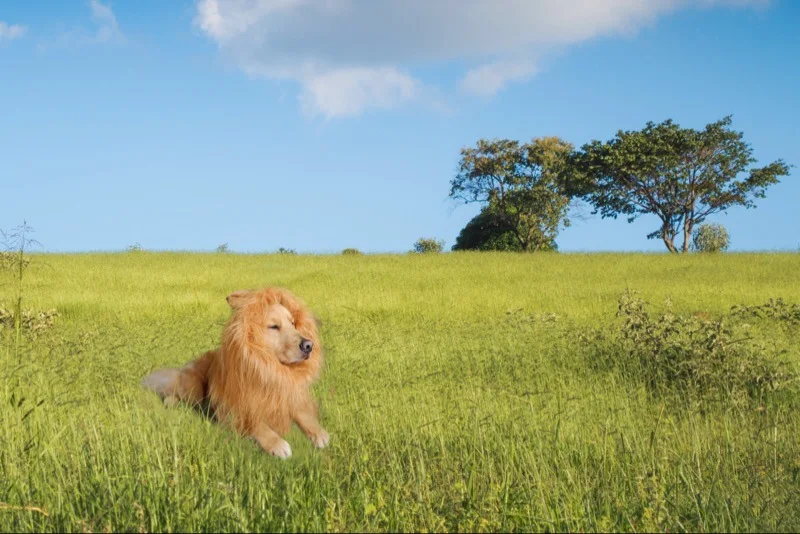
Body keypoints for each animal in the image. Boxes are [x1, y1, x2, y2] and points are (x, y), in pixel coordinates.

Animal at [142, 288, 330, 460]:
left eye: (293, 323)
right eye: (274, 326)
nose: (309, 345)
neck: (267, 370)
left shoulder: (290, 397)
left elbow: (304, 414)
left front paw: (319, 433)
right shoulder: (231, 410)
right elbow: (256, 425)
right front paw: (277, 444)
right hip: (193, 388)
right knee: (175, 391)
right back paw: (171, 401)